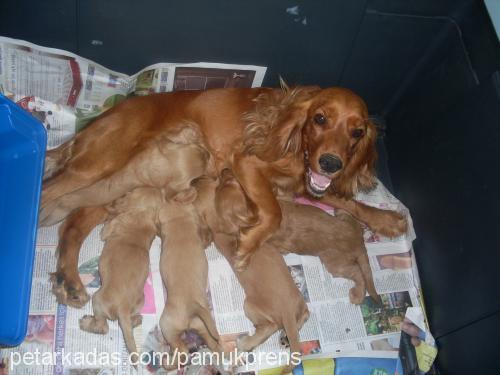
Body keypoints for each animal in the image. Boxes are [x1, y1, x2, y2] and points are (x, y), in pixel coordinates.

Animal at [39, 85, 406, 296]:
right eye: (319, 119)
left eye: (357, 132)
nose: (331, 163)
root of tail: (95, 122)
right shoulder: (248, 163)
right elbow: (273, 211)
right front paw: (248, 245)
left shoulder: (307, 181)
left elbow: (347, 201)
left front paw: (386, 219)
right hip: (96, 166)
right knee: (47, 191)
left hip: (112, 187)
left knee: (72, 222)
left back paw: (69, 278)